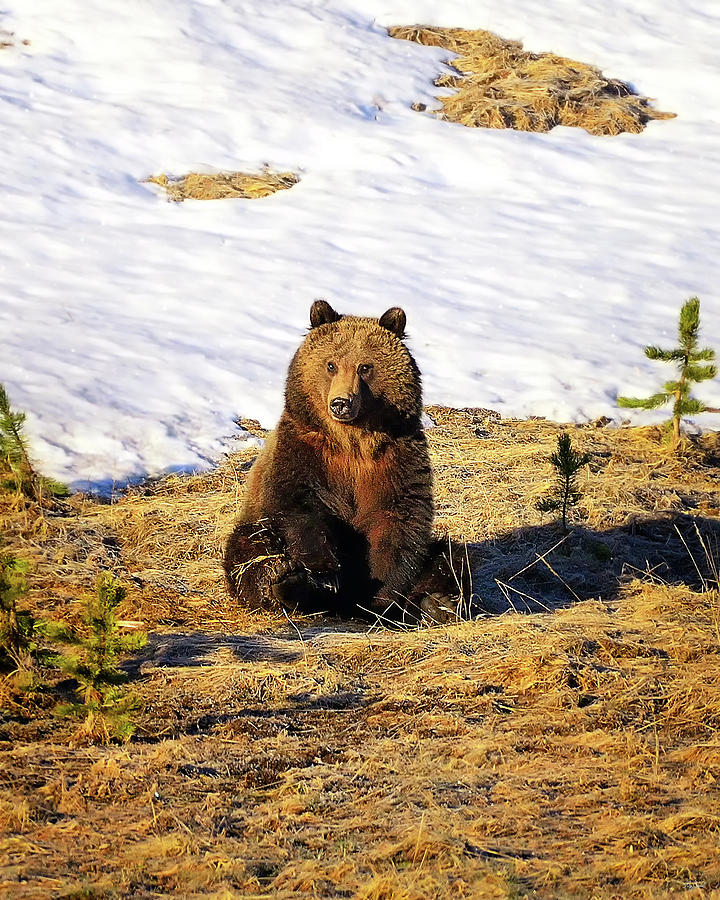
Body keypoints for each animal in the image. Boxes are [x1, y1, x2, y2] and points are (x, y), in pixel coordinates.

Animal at [225, 298, 472, 624]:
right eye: (331, 364)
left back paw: (440, 602)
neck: (352, 441)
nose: (341, 403)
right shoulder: (305, 453)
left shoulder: (396, 459)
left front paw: (379, 599)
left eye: (365, 367)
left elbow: (397, 523)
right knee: (250, 547)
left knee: (450, 556)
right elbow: (299, 511)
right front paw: (326, 575)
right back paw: (285, 580)